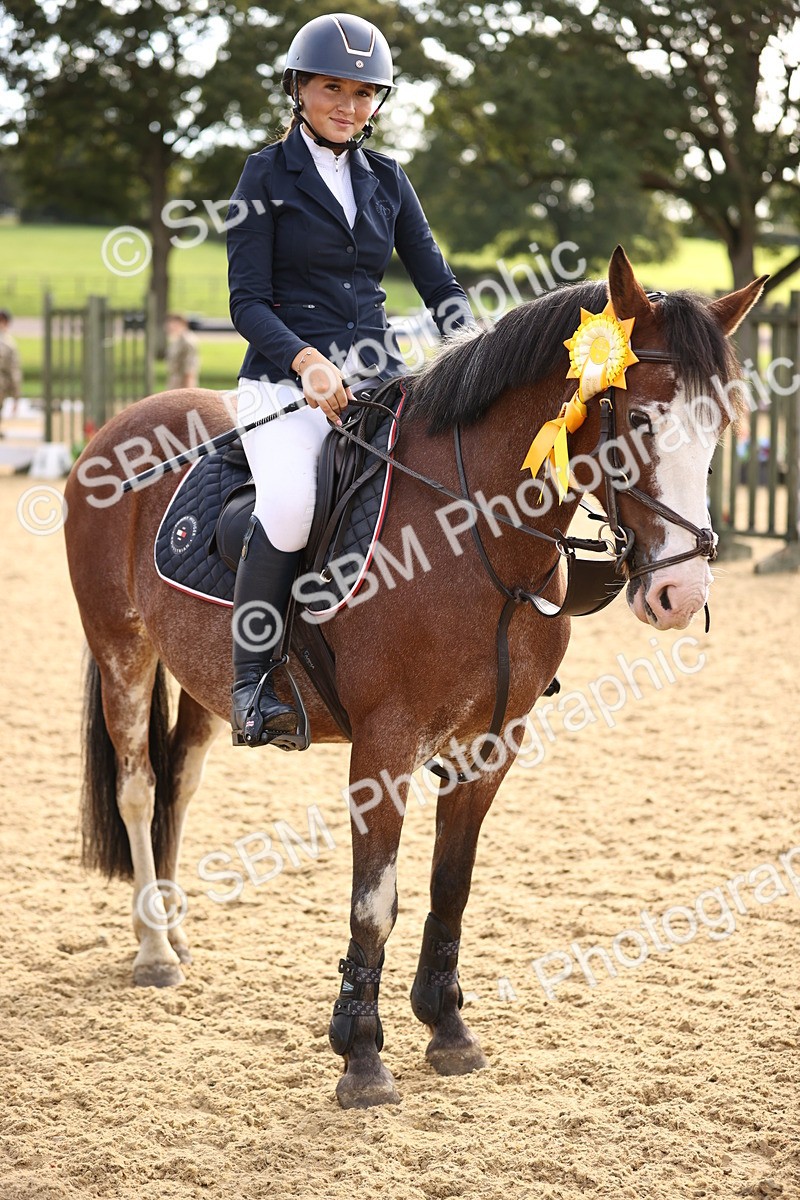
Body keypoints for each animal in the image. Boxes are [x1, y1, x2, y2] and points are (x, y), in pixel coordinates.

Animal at [63, 247, 765, 1109]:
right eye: (638, 421)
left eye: (719, 426)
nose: (681, 595)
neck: (475, 536)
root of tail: (122, 423)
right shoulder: (385, 749)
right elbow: (374, 902)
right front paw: (361, 1056)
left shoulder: (491, 744)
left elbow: (448, 886)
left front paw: (447, 1026)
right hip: (122, 650)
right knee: (135, 785)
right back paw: (154, 950)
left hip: (199, 679)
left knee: (178, 782)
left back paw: (172, 926)